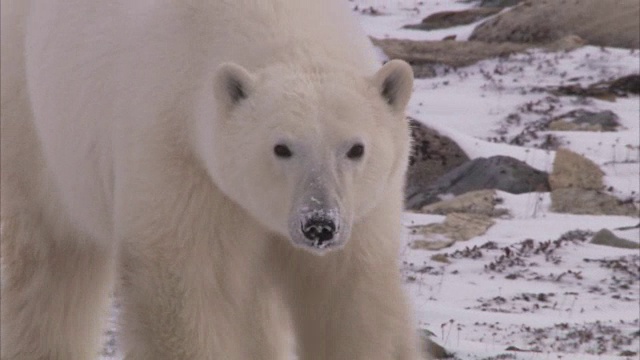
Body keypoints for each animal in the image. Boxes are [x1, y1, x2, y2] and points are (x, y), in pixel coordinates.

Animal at [1, 0, 424, 360]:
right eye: (281, 147)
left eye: (356, 148)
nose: (319, 224)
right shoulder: (180, 157)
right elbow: (184, 289)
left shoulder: (366, 209)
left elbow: (352, 293)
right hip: (32, 133)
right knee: (47, 269)